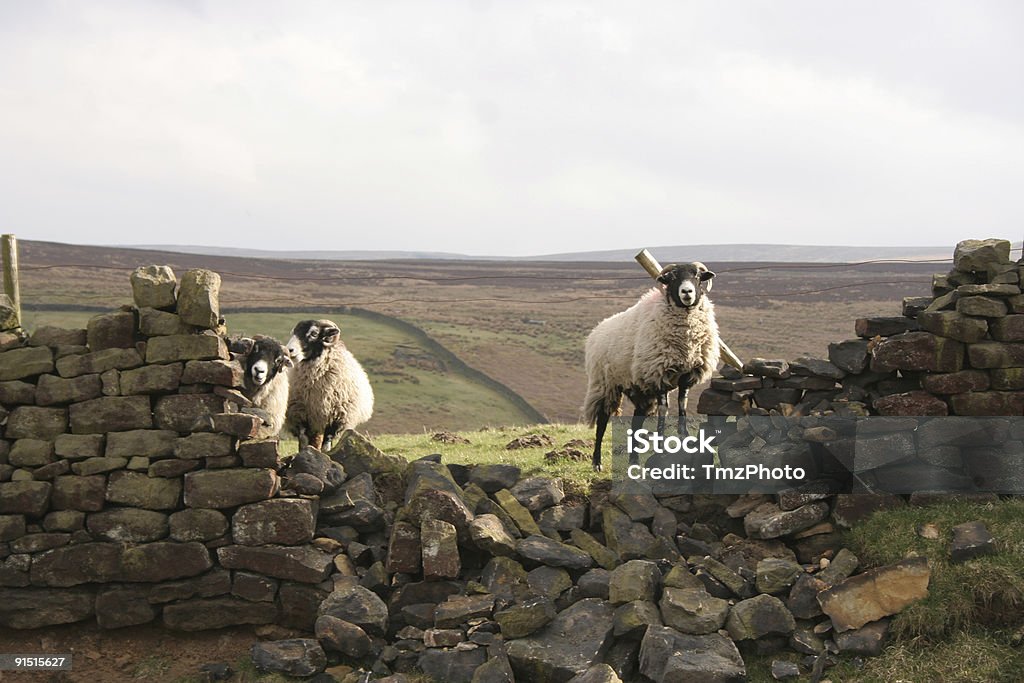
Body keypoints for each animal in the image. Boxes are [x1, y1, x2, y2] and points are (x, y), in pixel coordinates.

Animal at [284, 321, 376, 454]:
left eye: (314, 333)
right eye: (294, 332)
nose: (289, 350)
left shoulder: (337, 417)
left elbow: (327, 443)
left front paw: (325, 454)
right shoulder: (300, 414)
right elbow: (303, 440)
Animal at [585, 262, 720, 471]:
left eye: (698, 276)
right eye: (672, 278)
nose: (687, 292)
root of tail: (596, 330)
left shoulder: (687, 375)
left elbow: (682, 405)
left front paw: (684, 436)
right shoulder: (659, 375)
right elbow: (664, 409)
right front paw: (662, 442)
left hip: (639, 390)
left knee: (636, 423)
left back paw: (634, 461)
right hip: (606, 385)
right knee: (602, 421)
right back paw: (597, 462)